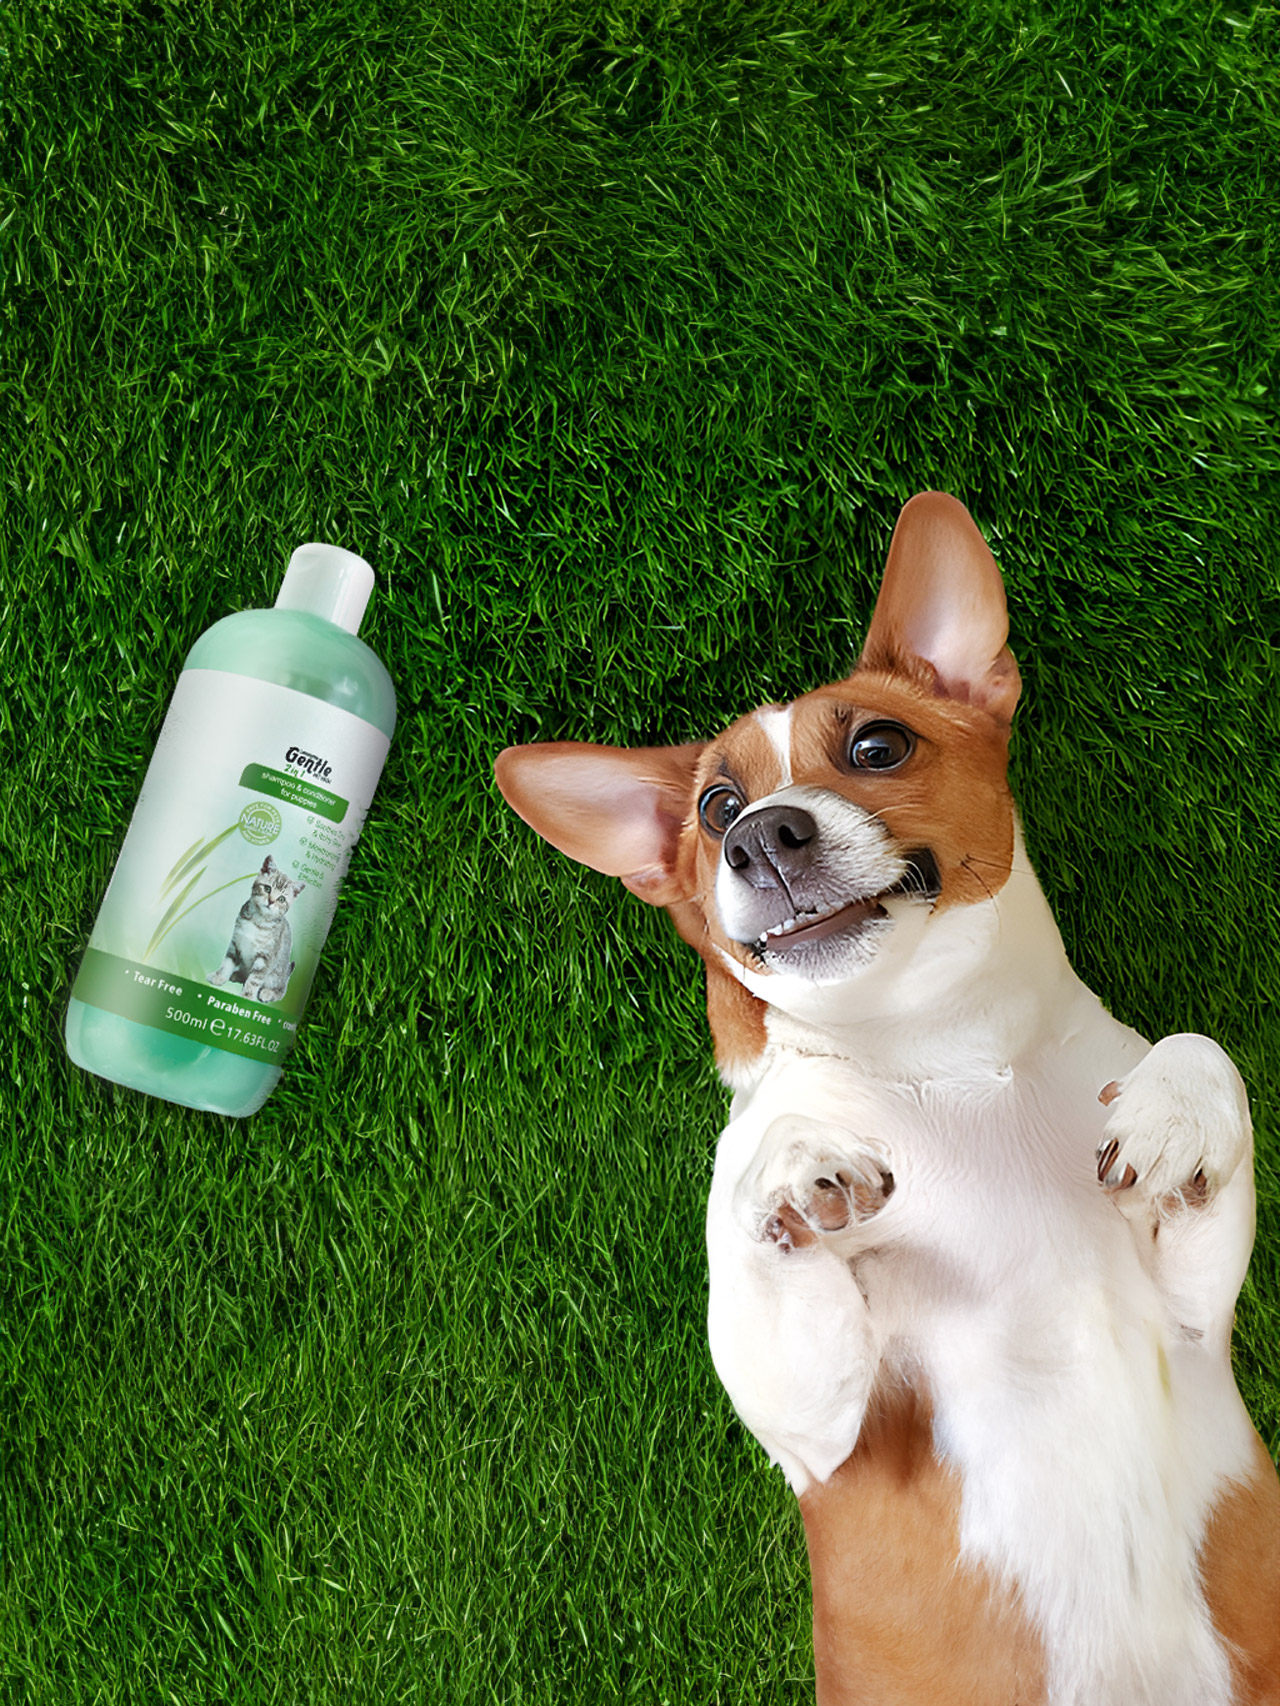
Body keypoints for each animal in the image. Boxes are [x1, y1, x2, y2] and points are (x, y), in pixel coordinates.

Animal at [208, 855, 306, 1003]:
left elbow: (254, 979)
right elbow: (227, 962)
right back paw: (237, 975)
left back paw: (268, 992)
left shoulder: (266, 957)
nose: (271, 901)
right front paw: (219, 977)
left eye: (281, 899)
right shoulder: (236, 943)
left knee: (281, 990)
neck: (258, 921)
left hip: (278, 975)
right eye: (267, 889)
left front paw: (247, 996)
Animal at [494, 492, 1280, 1705]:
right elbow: (761, 1203)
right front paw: (791, 1160)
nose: (759, 832)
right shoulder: (825, 1434)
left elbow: (1206, 1051)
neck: (942, 1052)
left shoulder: (1196, 1315)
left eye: (877, 743)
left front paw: (1174, 1111)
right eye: (714, 803)